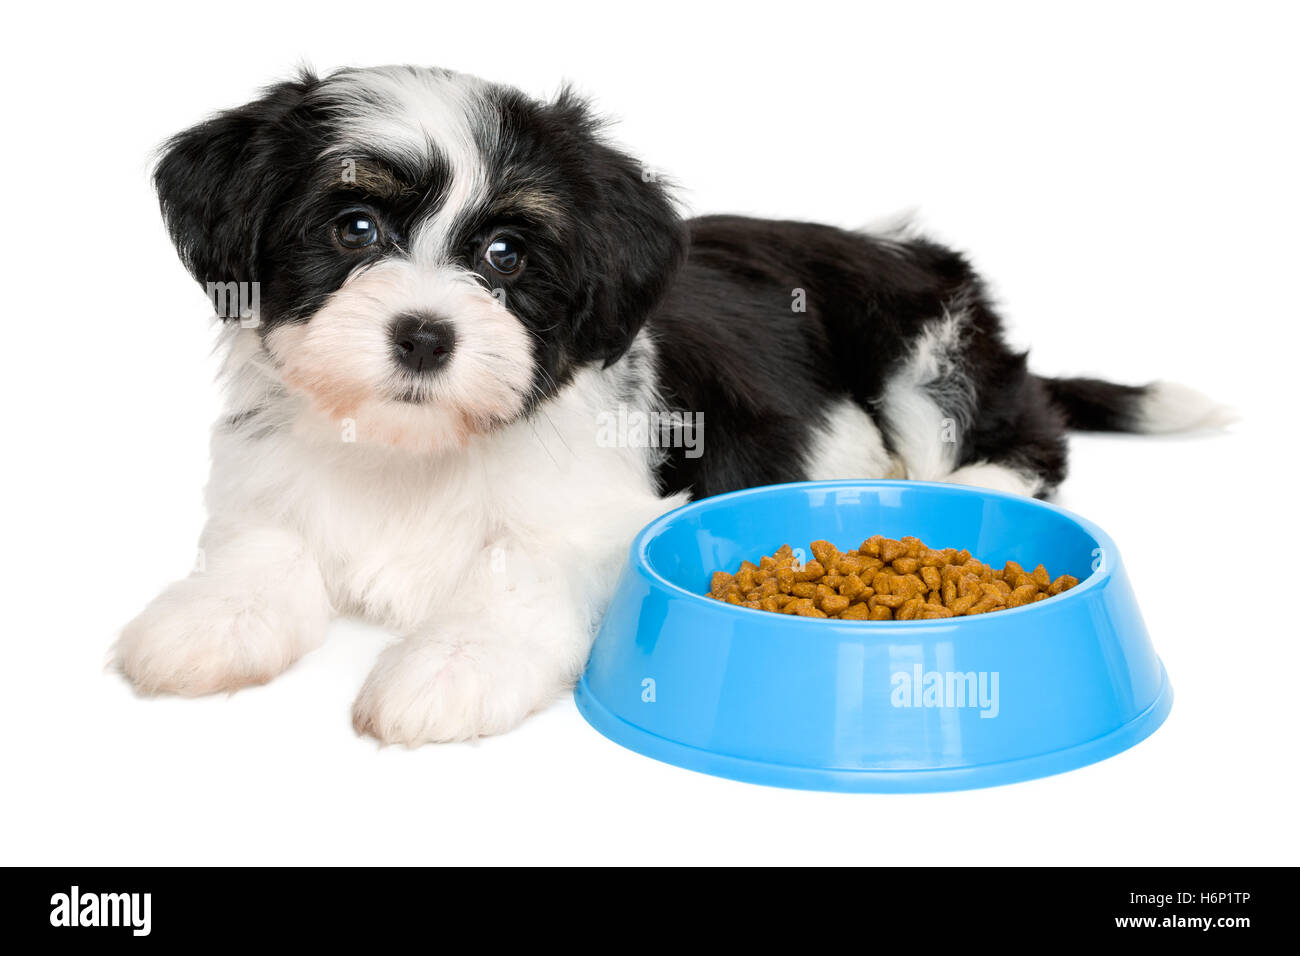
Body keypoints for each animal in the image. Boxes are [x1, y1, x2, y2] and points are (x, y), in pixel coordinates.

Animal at [116, 65, 1222, 749]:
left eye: (507, 254)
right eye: (351, 228)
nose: (425, 334)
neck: (413, 446)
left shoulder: (598, 513)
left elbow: (517, 571)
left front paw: (453, 663)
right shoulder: (267, 472)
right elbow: (263, 541)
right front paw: (207, 619)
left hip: (920, 342)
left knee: (1019, 431)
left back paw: (978, 487)